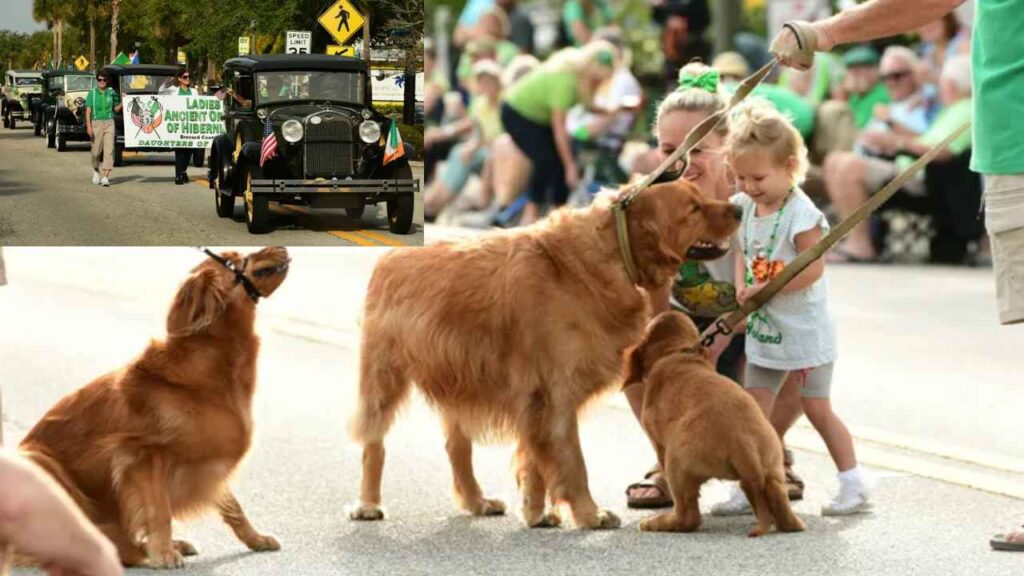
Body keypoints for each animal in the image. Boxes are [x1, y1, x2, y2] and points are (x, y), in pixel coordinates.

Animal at [16, 245, 292, 565]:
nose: (283, 247)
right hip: (41, 463)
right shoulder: (141, 455)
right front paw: (162, 553)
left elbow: (234, 508)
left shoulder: (208, 459)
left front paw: (256, 539)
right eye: (233, 261)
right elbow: (160, 511)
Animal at [348, 177, 741, 528]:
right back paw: (368, 504)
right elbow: (571, 462)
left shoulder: (535, 399)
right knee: (373, 446)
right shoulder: (555, 392)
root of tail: (392, 251)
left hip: (460, 381)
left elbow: (536, 461)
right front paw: (589, 514)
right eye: (693, 207)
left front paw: (538, 513)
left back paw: (476, 501)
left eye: (701, 195)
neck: (611, 249)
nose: (738, 207)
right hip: (383, 377)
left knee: (457, 448)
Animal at [622, 311, 806, 537]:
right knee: (782, 506)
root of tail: (742, 444)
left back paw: (655, 522)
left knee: (688, 517)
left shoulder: (659, 444)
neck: (675, 353)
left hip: (676, 461)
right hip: (773, 468)